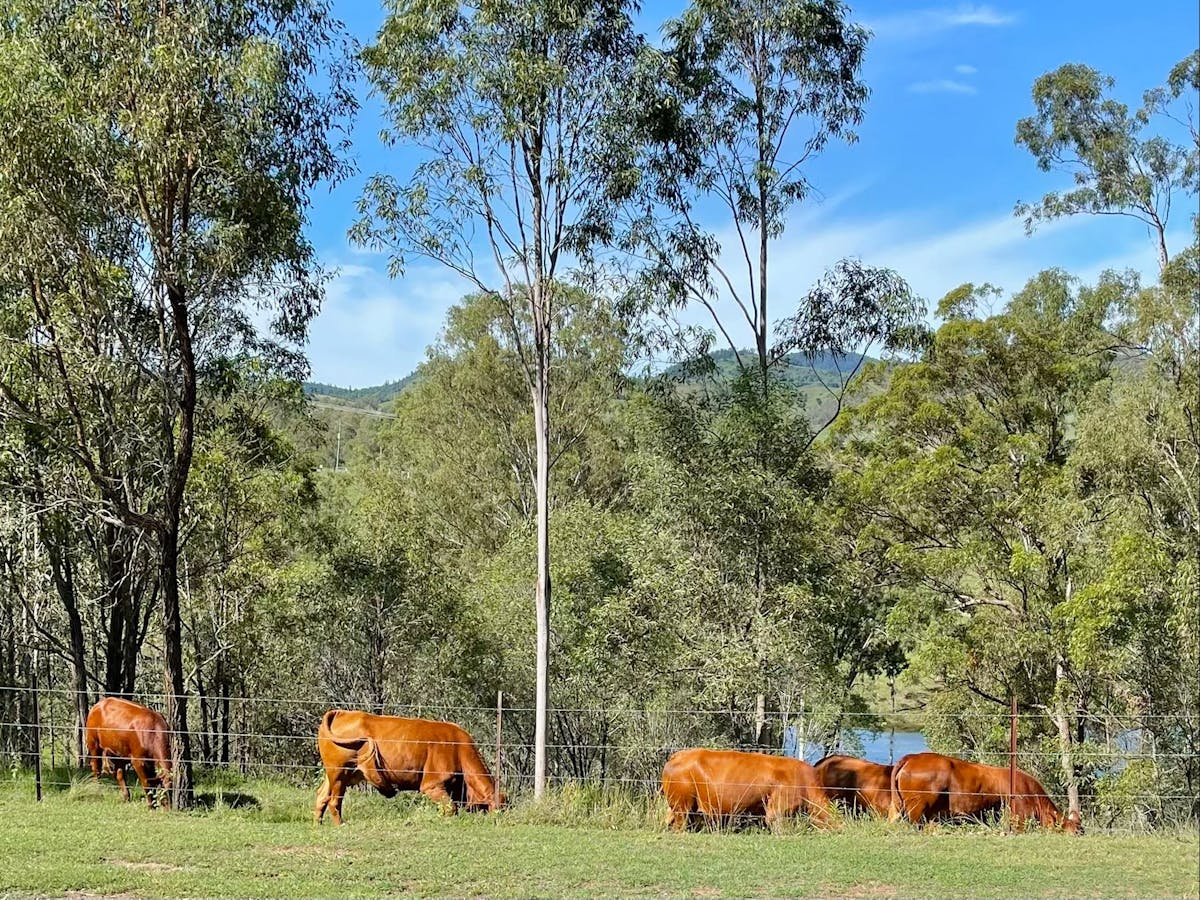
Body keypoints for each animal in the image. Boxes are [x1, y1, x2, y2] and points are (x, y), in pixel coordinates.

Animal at [314, 709, 504, 825]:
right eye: (500, 807)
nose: (503, 819)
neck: (458, 749)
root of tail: (342, 712)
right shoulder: (432, 785)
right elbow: (451, 808)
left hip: (337, 775)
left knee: (322, 796)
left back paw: (318, 824)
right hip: (339, 774)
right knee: (334, 801)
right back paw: (341, 824)